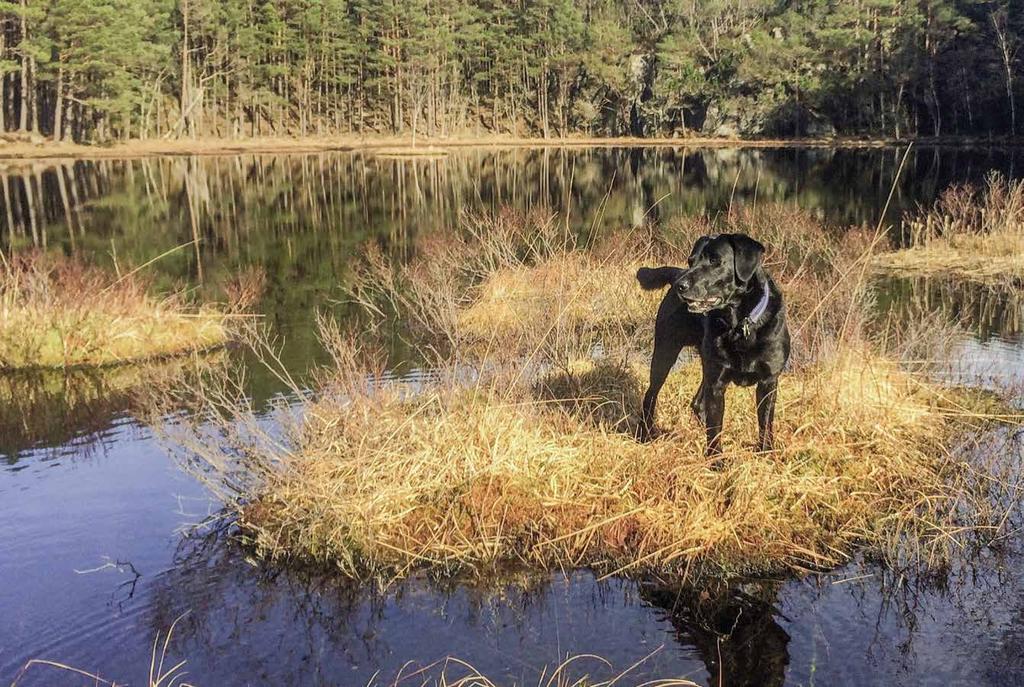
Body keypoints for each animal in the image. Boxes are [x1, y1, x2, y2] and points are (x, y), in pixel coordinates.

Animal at [630, 233, 790, 454]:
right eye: (691, 261)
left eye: (715, 261)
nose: (681, 285)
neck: (739, 326)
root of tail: (676, 273)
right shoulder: (717, 383)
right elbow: (715, 428)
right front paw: (716, 459)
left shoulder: (769, 381)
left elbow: (765, 423)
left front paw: (766, 452)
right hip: (665, 352)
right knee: (651, 394)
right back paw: (644, 434)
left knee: (697, 403)